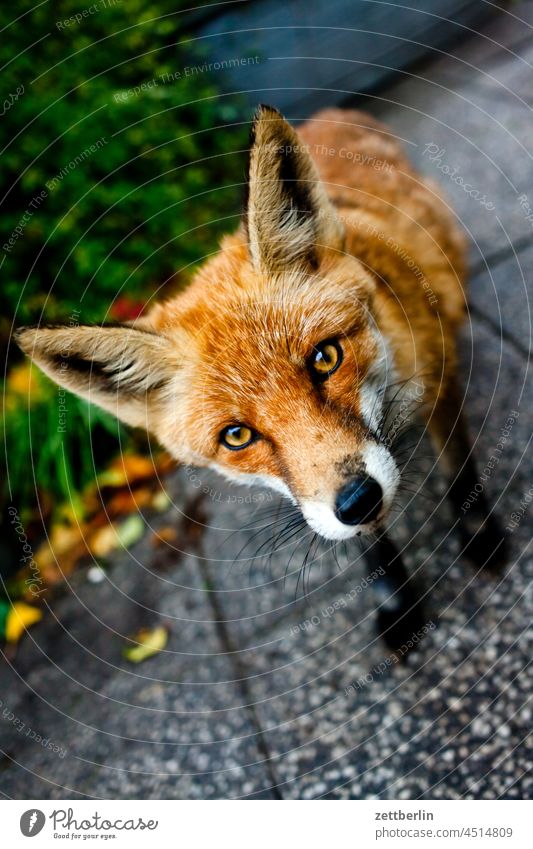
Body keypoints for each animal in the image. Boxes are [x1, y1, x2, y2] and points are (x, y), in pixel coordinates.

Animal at [16, 107, 504, 648]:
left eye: (325, 358)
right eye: (236, 435)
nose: (359, 501)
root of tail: (330, 114)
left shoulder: (438, 384)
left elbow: (460, 473)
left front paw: (481, 536)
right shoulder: (323, 499)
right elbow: (369, 547)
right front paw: (397, 604)